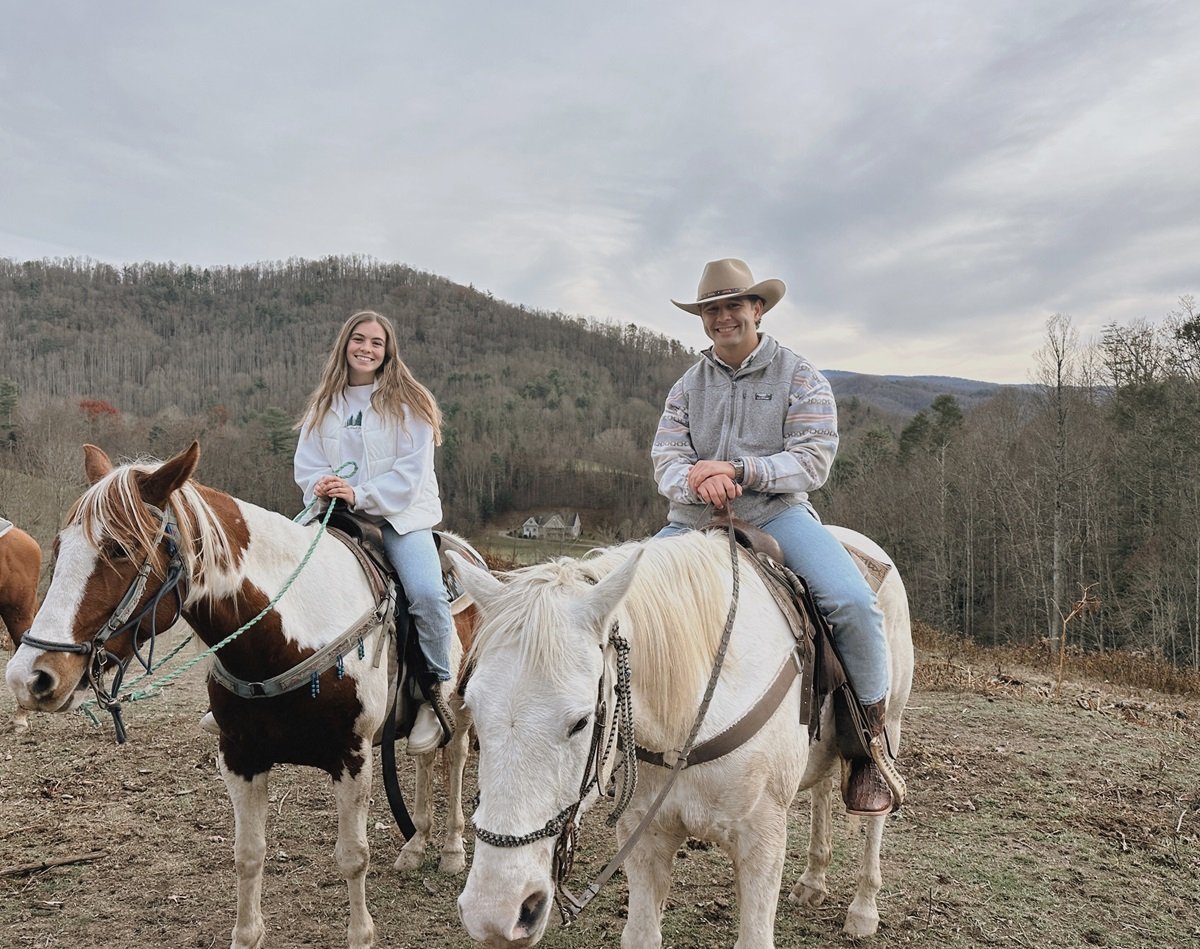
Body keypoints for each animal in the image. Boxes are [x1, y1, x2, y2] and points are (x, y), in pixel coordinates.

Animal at [8, 446, 482, 949]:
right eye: (60, 548)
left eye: (119, 548)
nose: (28, 677)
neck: (287, 636)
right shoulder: (240, 757)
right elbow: (248, 854)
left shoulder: (352, 758)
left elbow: (353, 856)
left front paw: (361, 934)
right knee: (425, 758)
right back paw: (415, 846)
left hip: (460, 707)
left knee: (454, 760)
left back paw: (452, 850)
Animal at [451, 530, 907, 945]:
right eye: (474, 709)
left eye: (581, 722)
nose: (494, 912)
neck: (691, 719)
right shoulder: (645, 838)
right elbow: (642, 934)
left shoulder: (762, 843)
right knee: (822, 792)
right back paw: (813, 881)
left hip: (891, 726)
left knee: (875, 813)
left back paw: (863, 908)